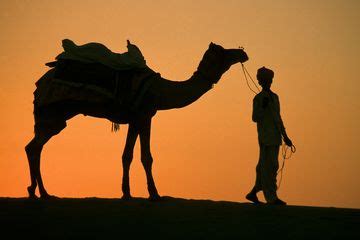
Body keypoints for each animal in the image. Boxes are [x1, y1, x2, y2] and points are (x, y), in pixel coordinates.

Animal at [24, 42, 248, 200]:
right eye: (224, 52)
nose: (242, 53)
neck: (161, 90)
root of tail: (39, 84)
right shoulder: (145, 115)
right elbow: (146, 157)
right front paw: (155, 194)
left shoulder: (134, 119)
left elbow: (127, 156)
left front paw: (126, 193)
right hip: (52, 113)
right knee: (34, 147)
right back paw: (42, 193)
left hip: (53, 116)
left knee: (33, 147)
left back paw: (36, 191)